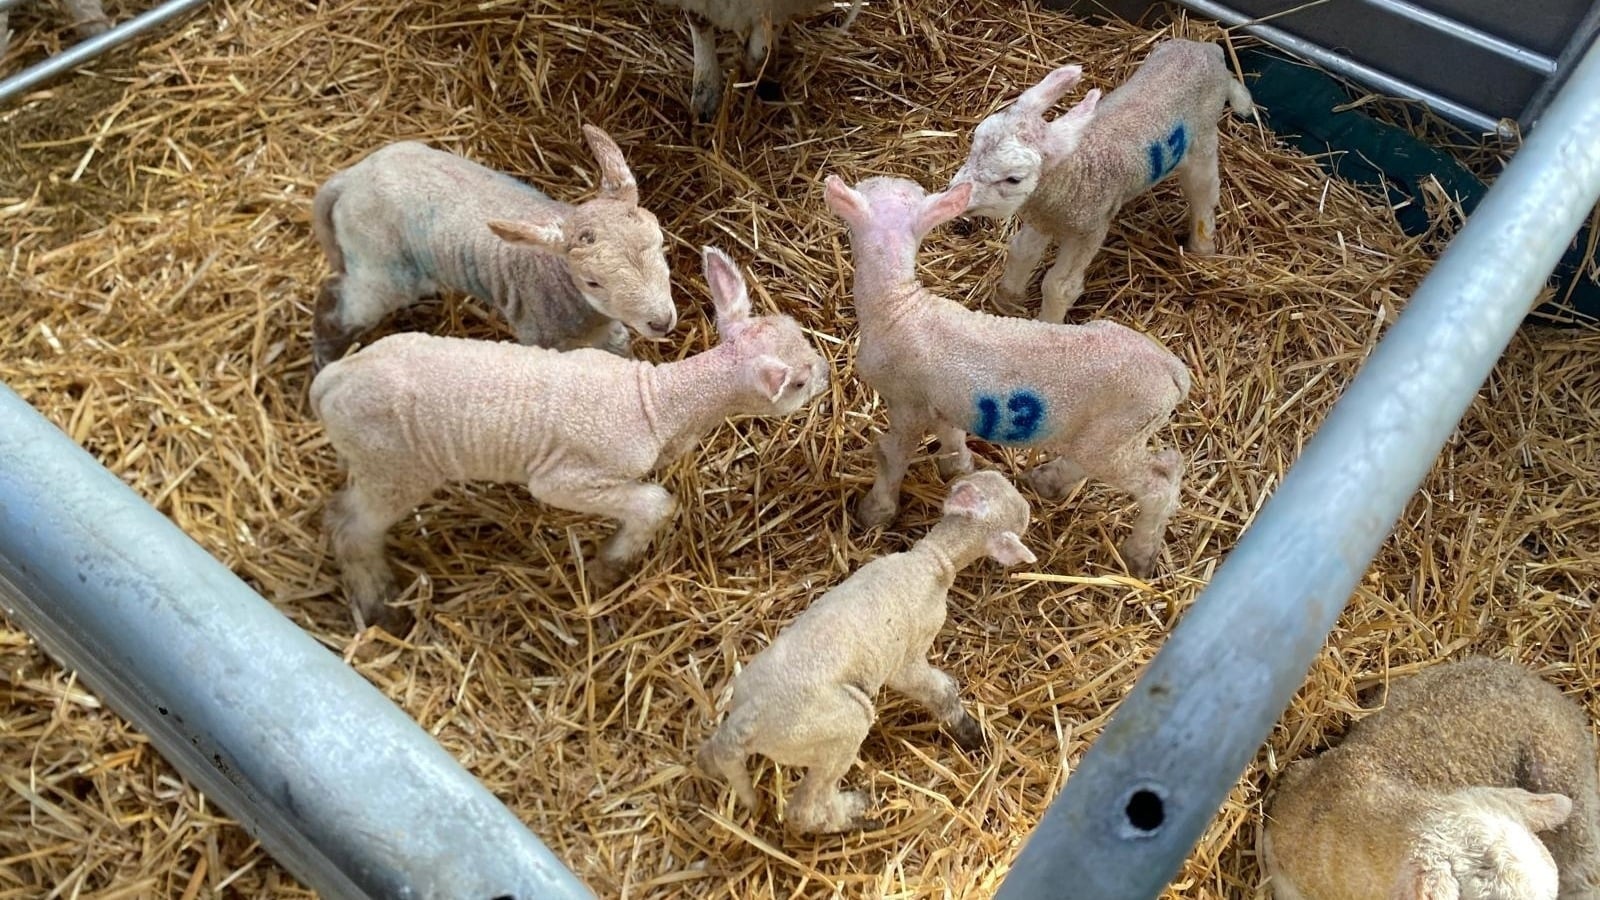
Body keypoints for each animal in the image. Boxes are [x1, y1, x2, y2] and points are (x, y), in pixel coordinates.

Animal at [309, 125, 675, 372]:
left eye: (661, 244)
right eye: (592, 281)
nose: (662, 322)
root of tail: (349, 178)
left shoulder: (607, 330)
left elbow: (620, 347)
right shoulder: (541, 334)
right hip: (380, 264)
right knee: (335, 303)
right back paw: (325, 359)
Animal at [309, 246, 828, 633]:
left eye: (797, 331)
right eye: (799, 383)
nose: (825, 373)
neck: (657, 402)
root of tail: (331, 381)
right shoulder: (571, 478)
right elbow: (654, 504)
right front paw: (610, 564)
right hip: (391, 465)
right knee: (348, 524)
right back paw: (379, 605)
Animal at [697, 469, 1034, 834]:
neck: (932, 561)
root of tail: (745, 719)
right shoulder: (908, 657)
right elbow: (939, 690)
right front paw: (969, 731)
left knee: (711, 756)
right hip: (838, 727)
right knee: (806, 809)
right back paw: (858, 812)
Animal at [822, 173, 1190, 577]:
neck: (898, 307)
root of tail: (1173, 371)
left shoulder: (906, 402)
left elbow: (892, 455)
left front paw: (875, 512)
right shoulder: (940, 402)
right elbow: (952, 436)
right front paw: (958, 468)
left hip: (1118, 430)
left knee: (1159, 483)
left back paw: (1139, 555)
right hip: (1116, 434)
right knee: (1146, 463)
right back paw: (1049, 482)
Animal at [949, 39, 1254, 323]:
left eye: (1013, 178)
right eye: (975, 142)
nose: (954, 197)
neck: (1075, 169)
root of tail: (1208, 48)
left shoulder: (1090, 229)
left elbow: (1059, 286)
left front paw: (1048, 326)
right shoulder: (1045, 217)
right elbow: (1021, 252)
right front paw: (1006, 303)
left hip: (1203, 137)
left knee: (1204, 189)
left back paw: (1202, 248)